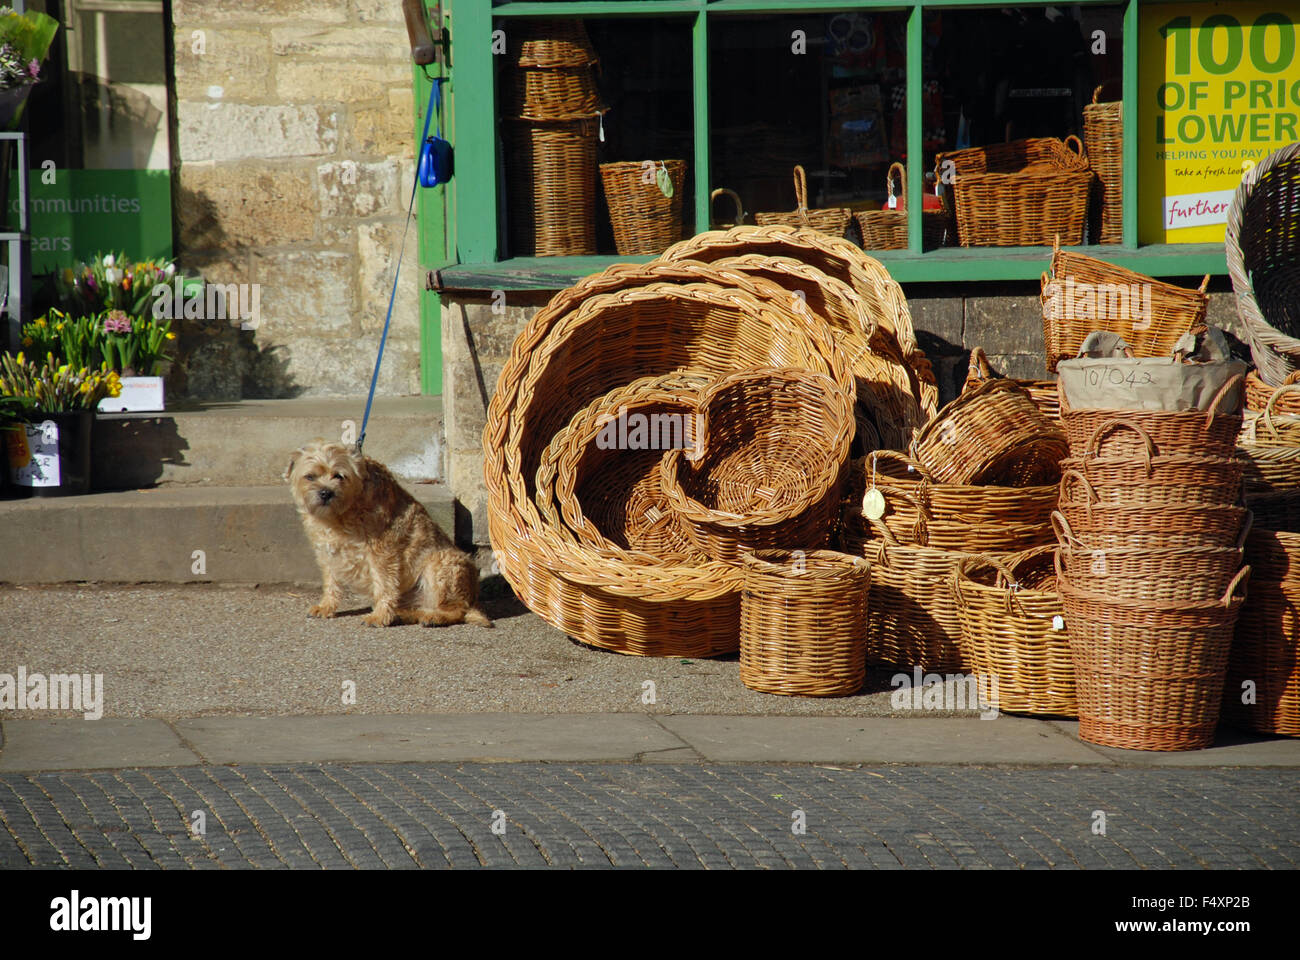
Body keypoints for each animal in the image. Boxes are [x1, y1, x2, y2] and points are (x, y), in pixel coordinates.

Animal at [288, 442, 491, 629]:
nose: (325, 493)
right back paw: (405, 615)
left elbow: (384, 586)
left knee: (456, 610)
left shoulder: (382, 553)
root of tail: (473, 598)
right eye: (310, 477)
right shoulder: (328, 554)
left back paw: (434, 617)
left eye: (339, 475)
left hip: (440, 563)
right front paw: (326, 606)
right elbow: (331, 583)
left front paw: (379, 616)